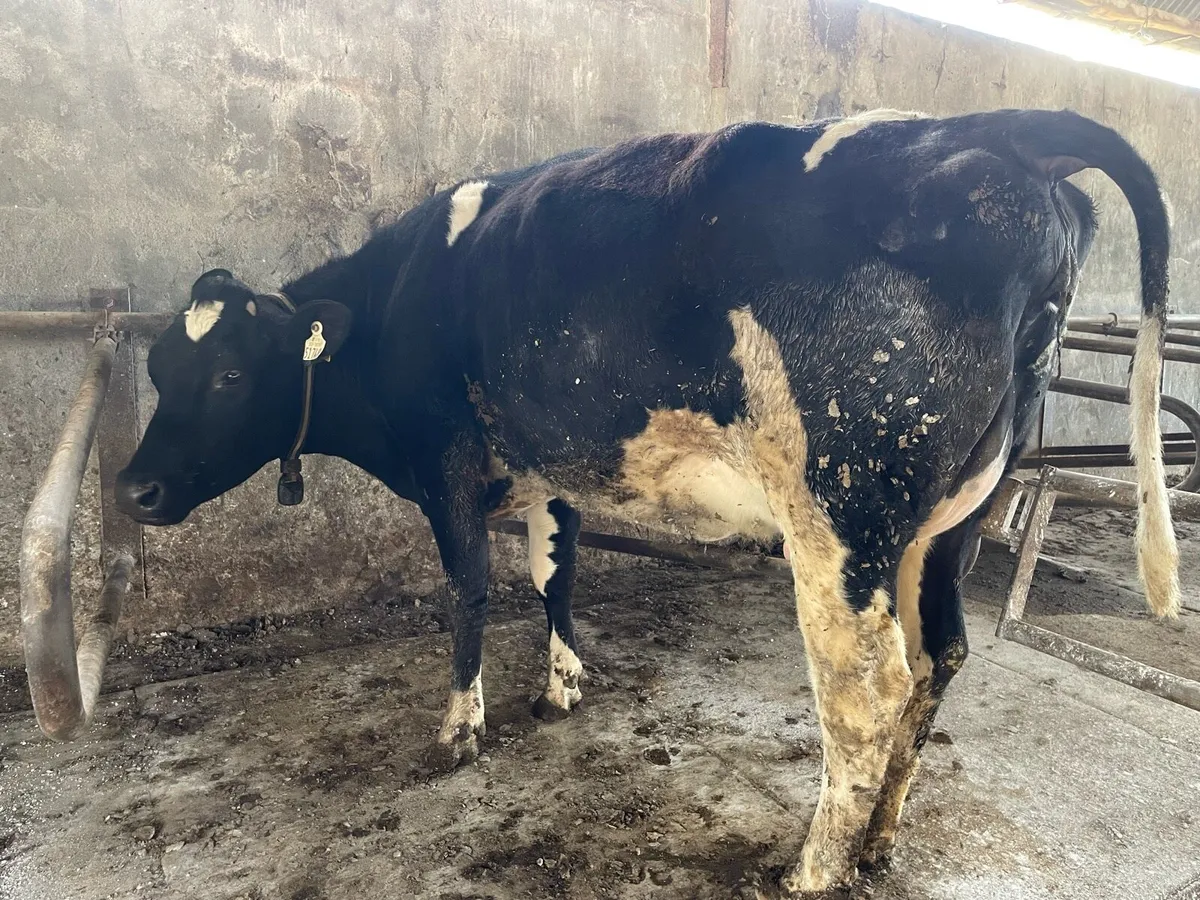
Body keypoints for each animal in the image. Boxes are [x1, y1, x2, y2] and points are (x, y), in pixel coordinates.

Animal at [115, 108, 1179, 894]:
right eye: (160, 368)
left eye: (229, 374)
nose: (134, 487)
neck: (396, 298)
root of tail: (1001, 132)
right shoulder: (552, 465)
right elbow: (555, 572)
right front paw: (562, 684)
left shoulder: (444, 462)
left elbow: (468, 592)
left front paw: (460, 728)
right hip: (950, 522)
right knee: (939, 657)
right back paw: (877, 841)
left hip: (840, 516)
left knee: (866, 692)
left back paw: (811, 871)